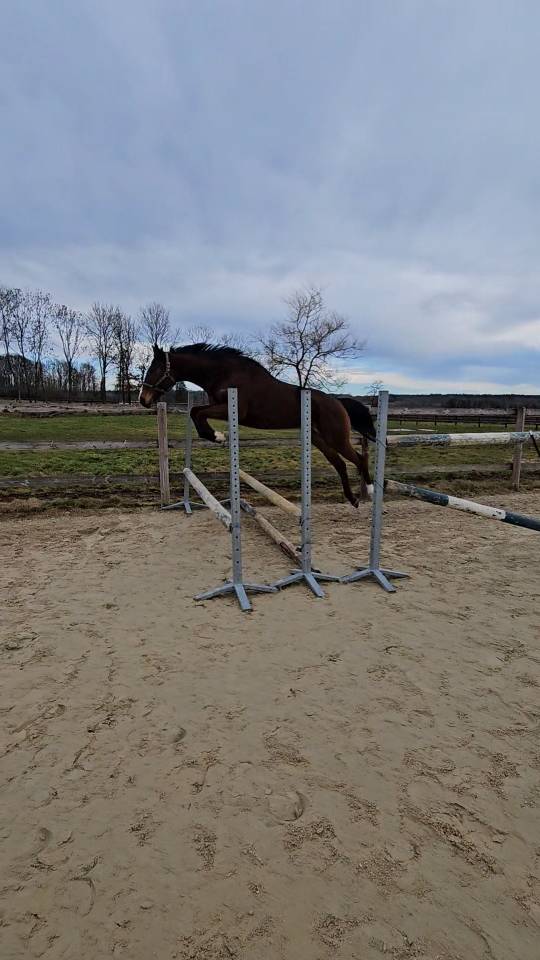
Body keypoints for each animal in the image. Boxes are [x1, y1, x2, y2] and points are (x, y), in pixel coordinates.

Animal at [140, 343, 376, 506]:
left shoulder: (232, 408)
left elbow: (196, 412)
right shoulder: (219, 406)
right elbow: (195, 412)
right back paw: (353, 499)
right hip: (318, 438)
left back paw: (370, 491)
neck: (223, 372)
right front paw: (216, 436)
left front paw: (217, 436)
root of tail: (338, 402)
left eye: (154, 370)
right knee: (341, 464)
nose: (143, 399)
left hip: (336, 437)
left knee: (359, 459)